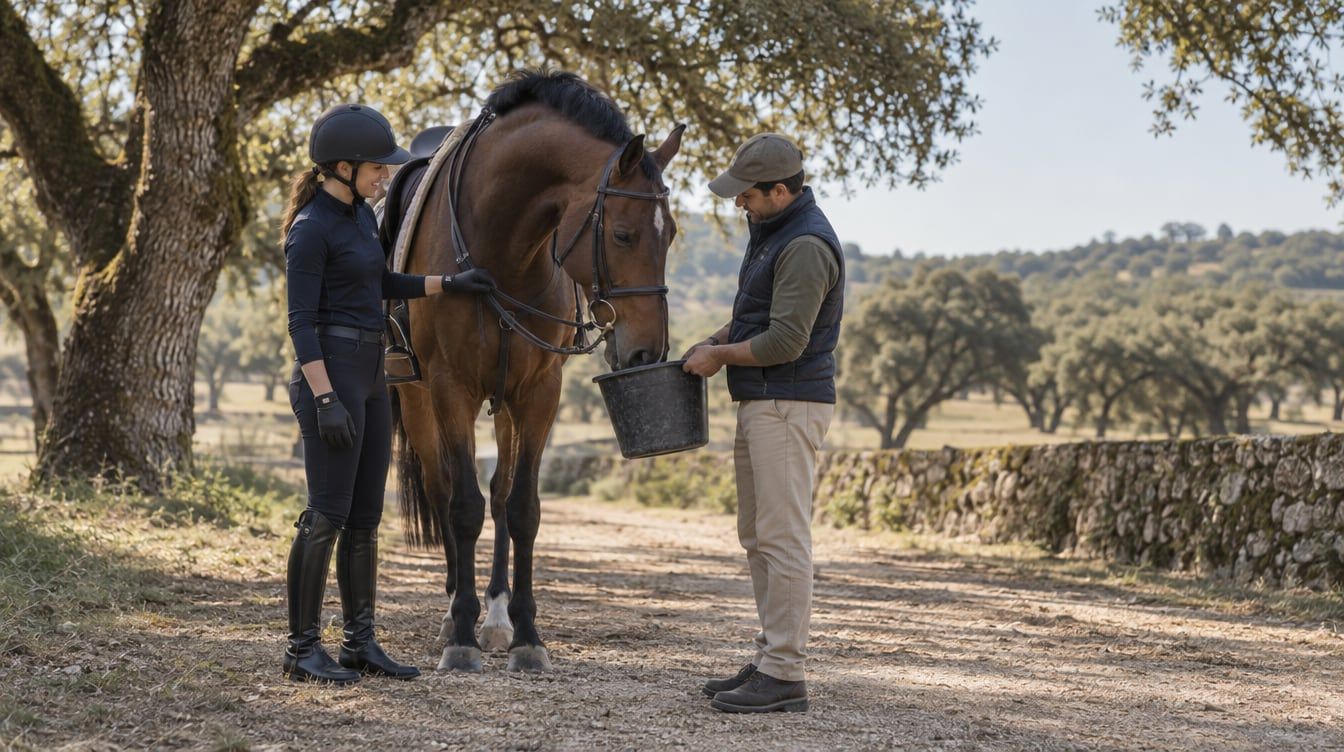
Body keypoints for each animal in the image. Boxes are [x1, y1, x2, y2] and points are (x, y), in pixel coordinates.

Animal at [388, 70, 684, 672]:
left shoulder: (539, 392)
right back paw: (454, 610)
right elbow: (462, 506)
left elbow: (521, 507)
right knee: (442, 488)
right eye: (622, 234)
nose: (648, 350)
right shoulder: (450, 388)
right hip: (419, 399)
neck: (501, 250)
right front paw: (460, 636)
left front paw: (526, 634)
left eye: (669, 234)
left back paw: (496, 616)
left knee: (500, 492)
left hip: (504, 403)